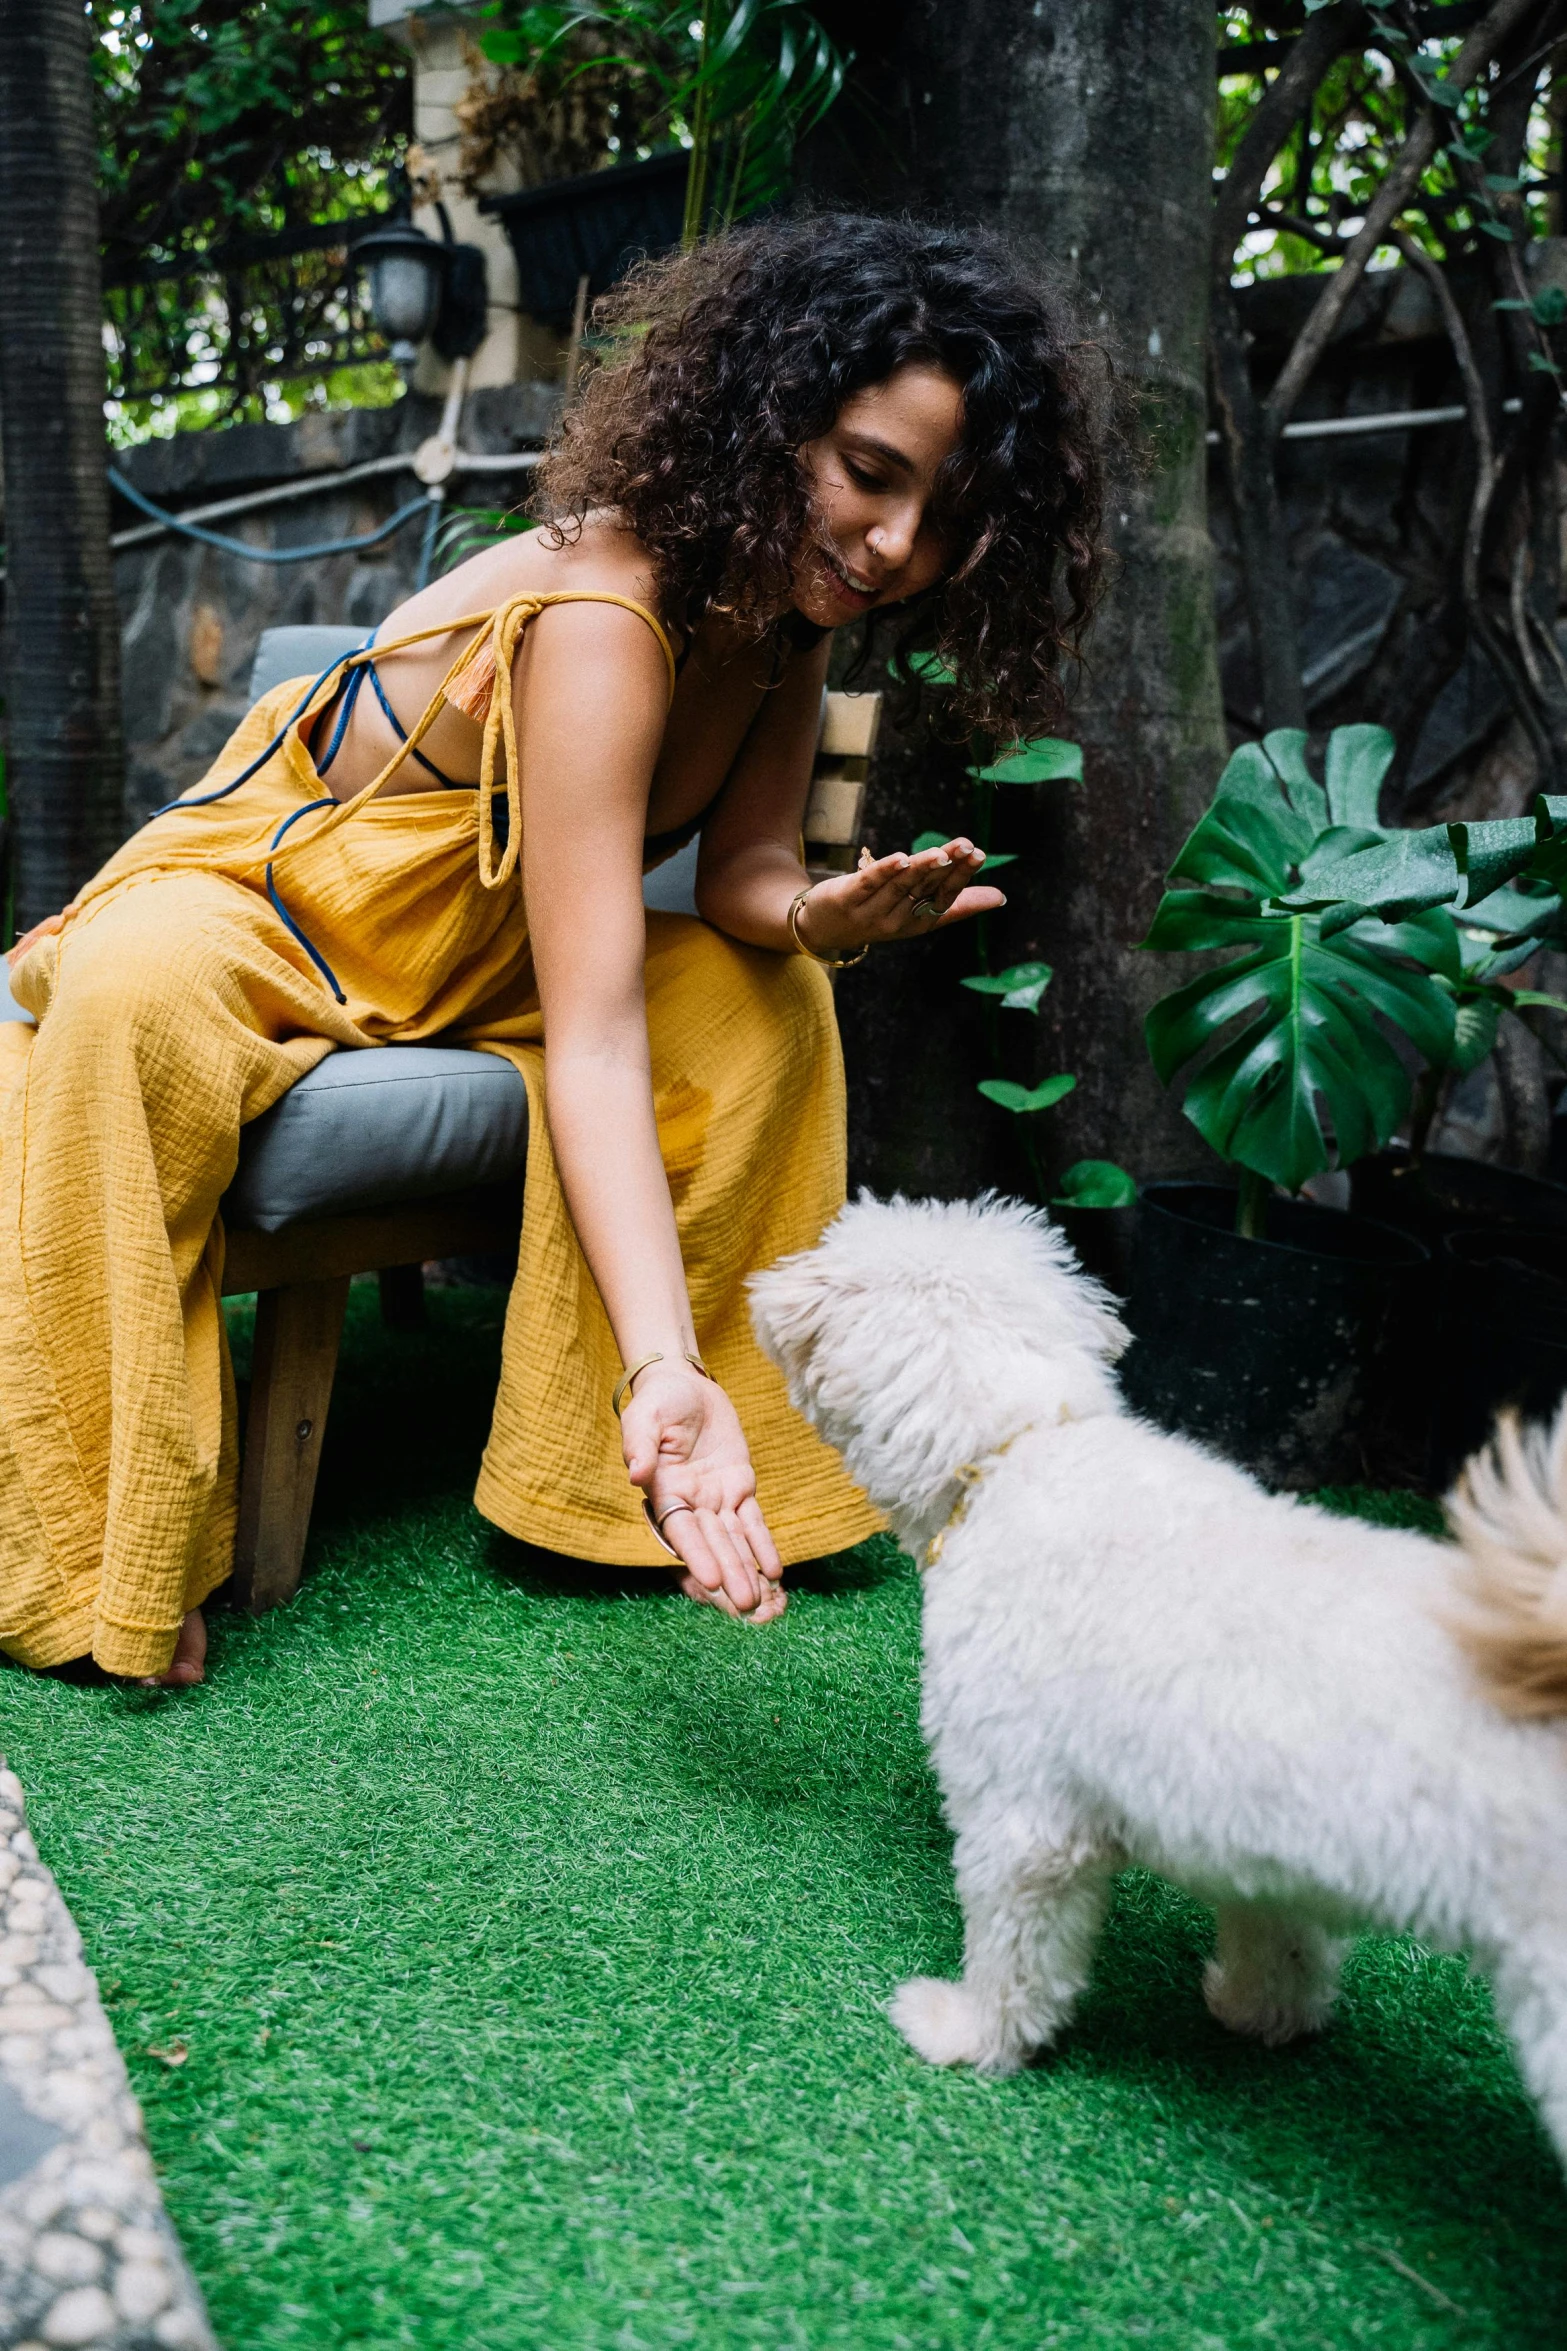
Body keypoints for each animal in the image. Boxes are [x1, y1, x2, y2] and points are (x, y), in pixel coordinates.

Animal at [751, 1194, 1567, 2162]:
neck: (1023, 1449)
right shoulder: (1261, 1838)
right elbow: (1281, 1944)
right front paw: (1261, 2015)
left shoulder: (1022, 1819)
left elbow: (1011, 1957)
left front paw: (968, 2034)